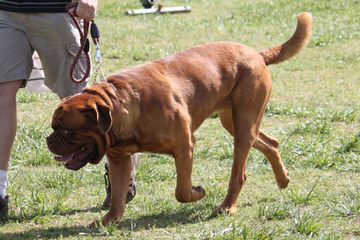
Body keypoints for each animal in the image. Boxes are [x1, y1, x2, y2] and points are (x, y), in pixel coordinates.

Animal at [47, 11, 312, 225]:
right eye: (53, 127)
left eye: (66, 130)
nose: (49, 140)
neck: (122, 103)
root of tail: (256, 53)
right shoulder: (119, 159)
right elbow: (118, 197)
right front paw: (108, 221)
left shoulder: (185, 147)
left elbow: (182, 191)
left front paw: (198, 192)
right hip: (235, 123)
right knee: (271, 143)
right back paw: (283, 180)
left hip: (244, 124)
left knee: (239, 173)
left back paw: (228, 206)